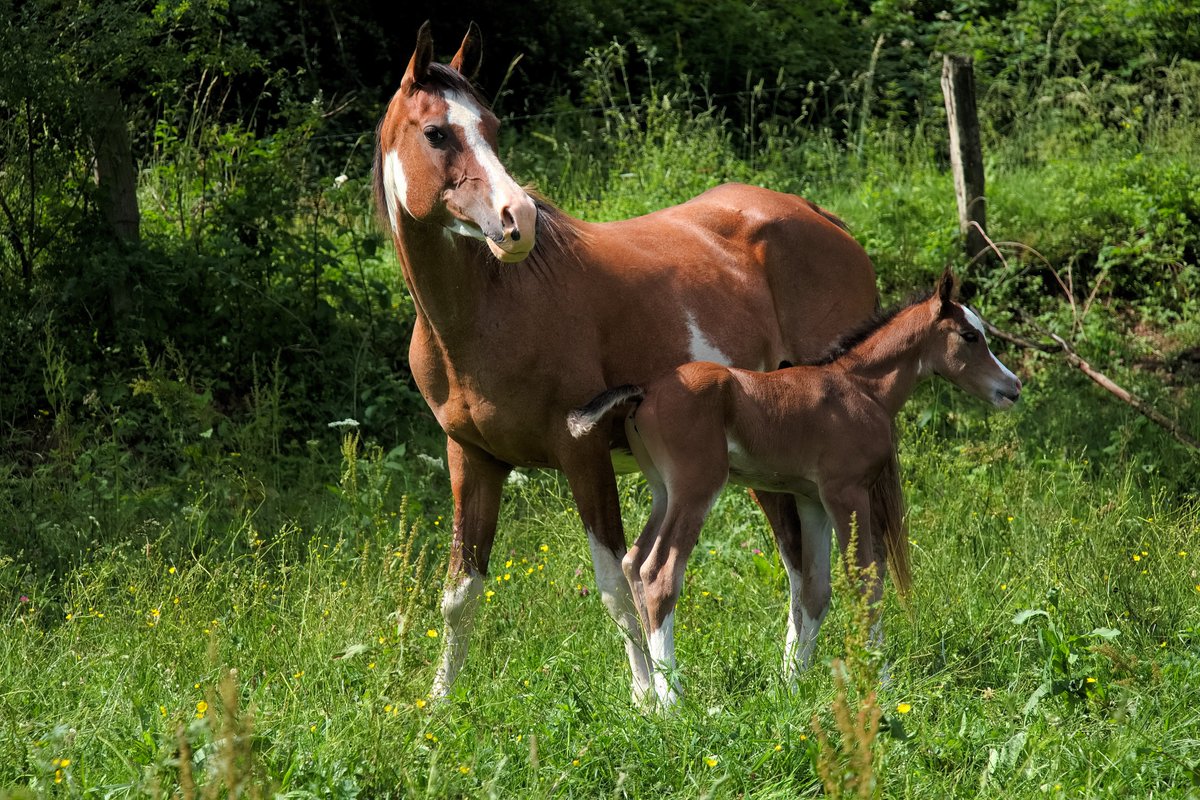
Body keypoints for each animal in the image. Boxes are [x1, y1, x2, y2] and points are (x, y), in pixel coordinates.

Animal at [373, 21, 904, 706]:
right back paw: (791, 681)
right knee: (803, 566)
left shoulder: (584, 456)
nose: (519, 222)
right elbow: (460, 595)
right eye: (437, 133)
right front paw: (438, 704)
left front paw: (646, 700)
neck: (490, 312)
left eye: (492, 126)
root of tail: (821, 218)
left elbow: (616, 589)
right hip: (774, 466)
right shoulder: (472, 460)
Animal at [567, 269, 1021, 706]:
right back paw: (670, 702)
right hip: (697, 488)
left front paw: (793, 683)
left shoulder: (811, 501)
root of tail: (645, 392)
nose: (1013, 387)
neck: (860, 388)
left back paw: (654, 695)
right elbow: (865, 581)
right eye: (970, 336)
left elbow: (816, 591)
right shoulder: (846, 492)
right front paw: (883, 683)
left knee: (633, 564)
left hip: (665, 492)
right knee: (658, 573)